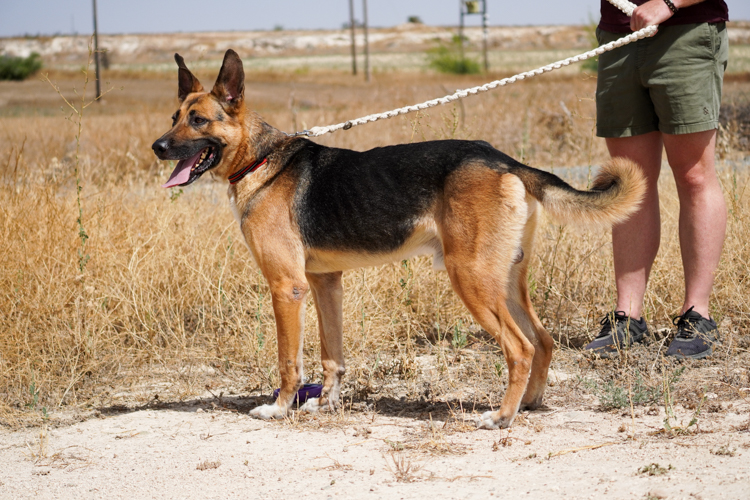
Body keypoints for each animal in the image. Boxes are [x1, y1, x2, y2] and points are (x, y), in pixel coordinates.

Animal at [153, 48, 648, 428]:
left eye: (199, 121)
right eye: (175, 117)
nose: (158, 147)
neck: (261, 159)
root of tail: (504, 160)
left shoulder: (286, 288)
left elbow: (288, 361)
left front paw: (279, 408)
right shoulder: (325, 283)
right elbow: (332, 355)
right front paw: (326, 404)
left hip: (470, 278)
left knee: (520, 347)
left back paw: (501, 416)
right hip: (505, 279)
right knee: (542, 341)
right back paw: (528, 403)